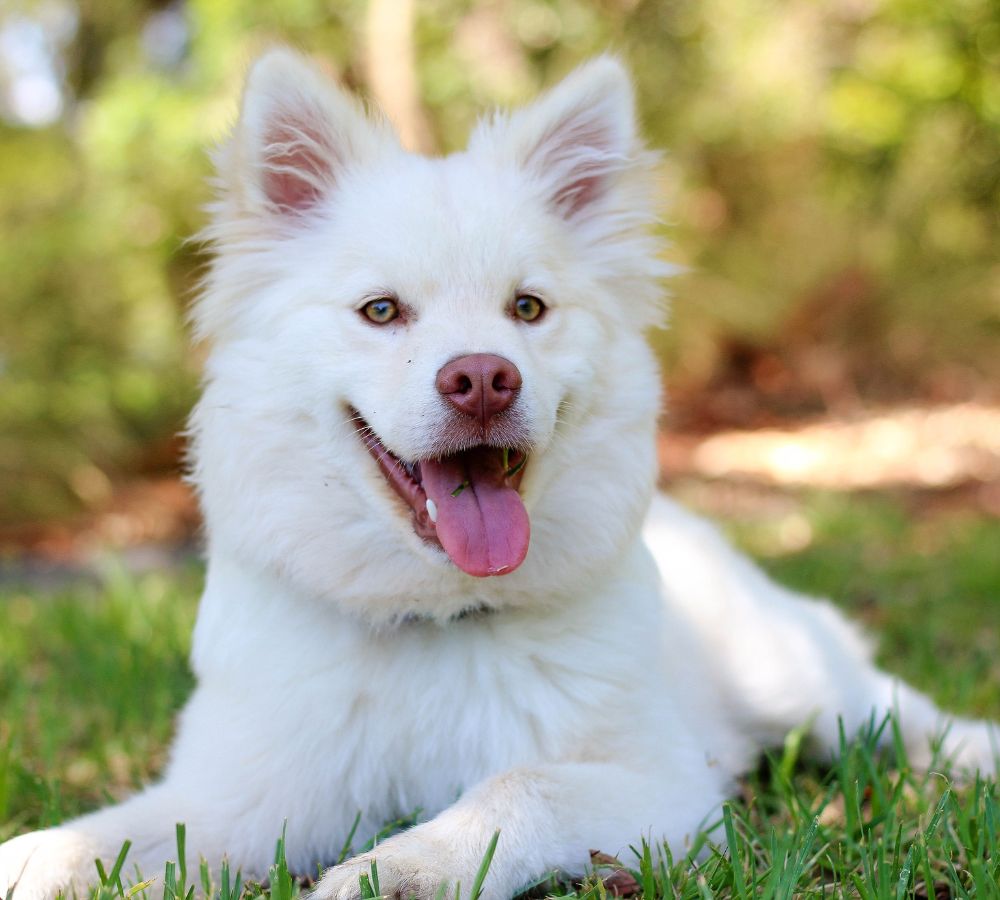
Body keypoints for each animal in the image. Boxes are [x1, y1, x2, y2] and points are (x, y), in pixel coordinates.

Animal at [3, 51, 996, 900]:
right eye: (381, 312)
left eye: (529, 308)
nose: (483, 378)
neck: (434, 621)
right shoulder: (236, 800)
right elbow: (97, 838)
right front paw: (37, 856)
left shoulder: (663, 784)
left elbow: (515, 789)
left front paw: (393, 871)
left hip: (793, 677)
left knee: (896, 711)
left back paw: (974, 757)